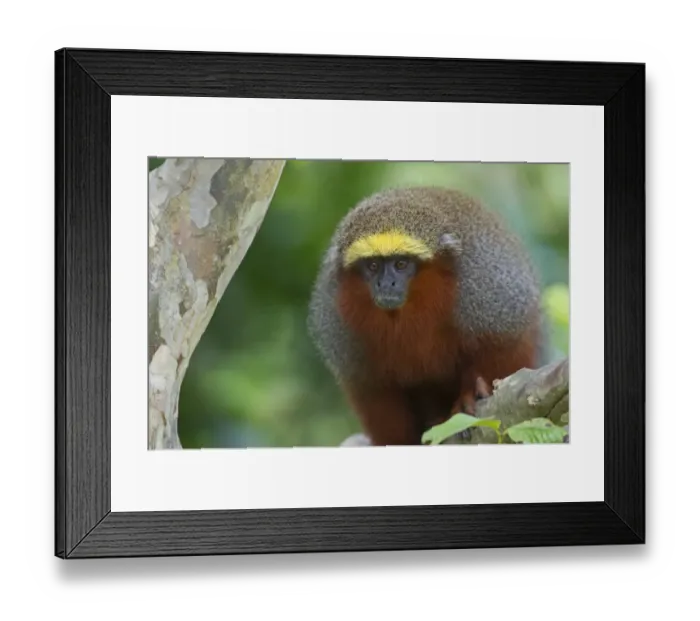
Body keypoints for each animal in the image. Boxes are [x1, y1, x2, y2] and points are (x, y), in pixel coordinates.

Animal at [307, 186, 546, 446]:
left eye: (401, 264)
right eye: (373, 266)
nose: (386, 284)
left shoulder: (488, 288)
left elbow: (505, 347)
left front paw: (470, 396)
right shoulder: (335, 317)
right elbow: (373, 389)